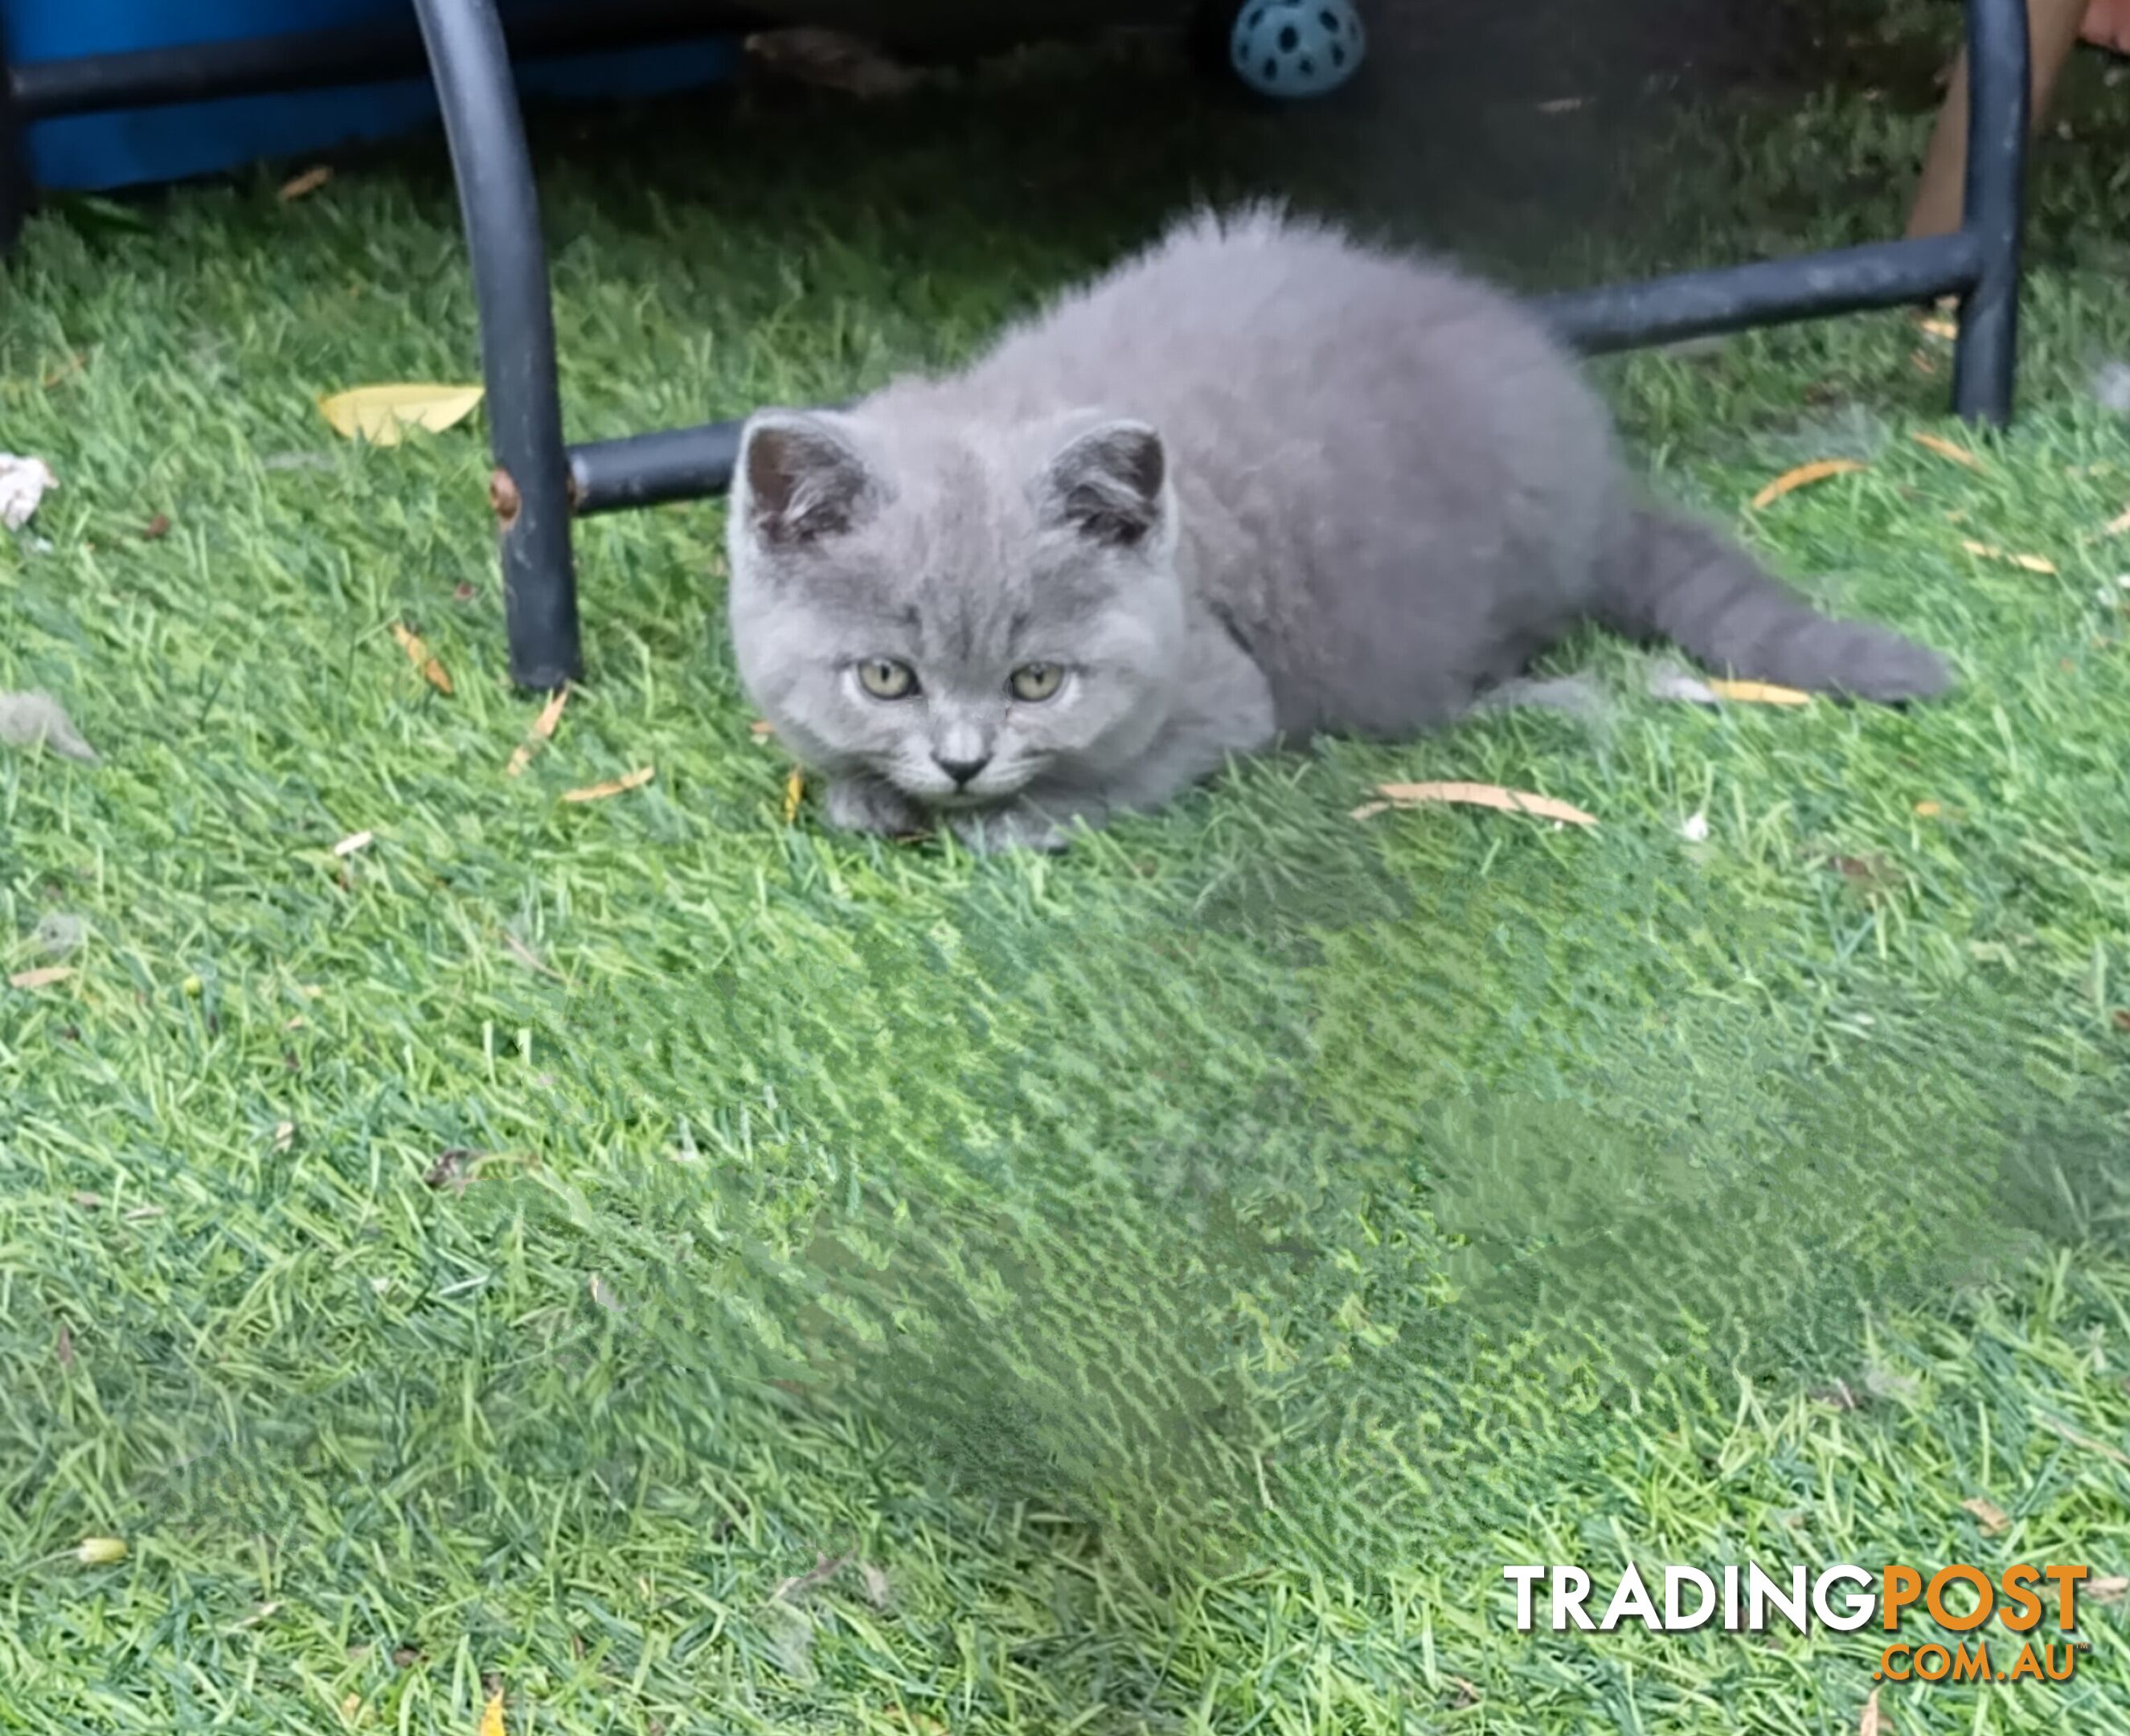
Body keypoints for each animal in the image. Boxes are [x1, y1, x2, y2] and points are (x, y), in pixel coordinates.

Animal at [724, 205, 1951, 856]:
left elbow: (1128, 771)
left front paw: (1012, 816)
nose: (962, 762)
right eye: (885, 678)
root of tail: (1599, 478)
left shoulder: (1223, 698)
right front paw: (868, 791)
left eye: (1037, 683)